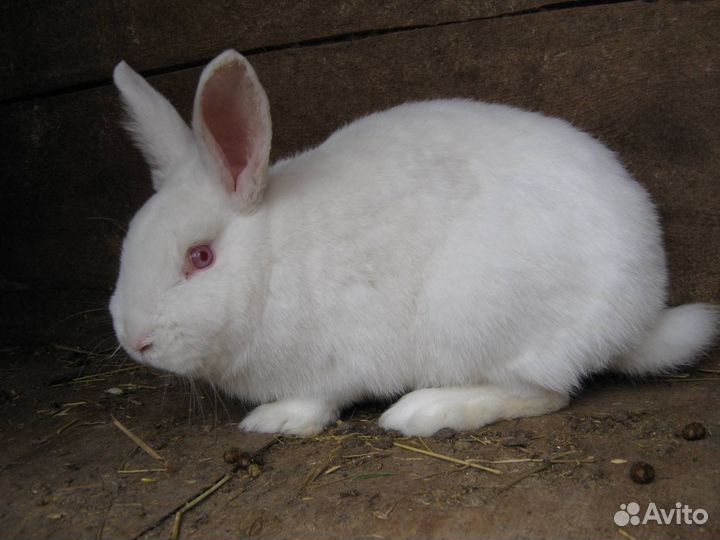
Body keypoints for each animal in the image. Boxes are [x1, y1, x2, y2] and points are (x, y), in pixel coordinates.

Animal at [109, 49, 718, 436]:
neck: (272, 258)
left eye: (200, 257)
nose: (136, 342)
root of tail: (637, 317)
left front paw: (276, 421)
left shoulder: (336, 358)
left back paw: (423, 412)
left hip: (478, 317)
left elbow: (318, 399)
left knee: (544, 393)